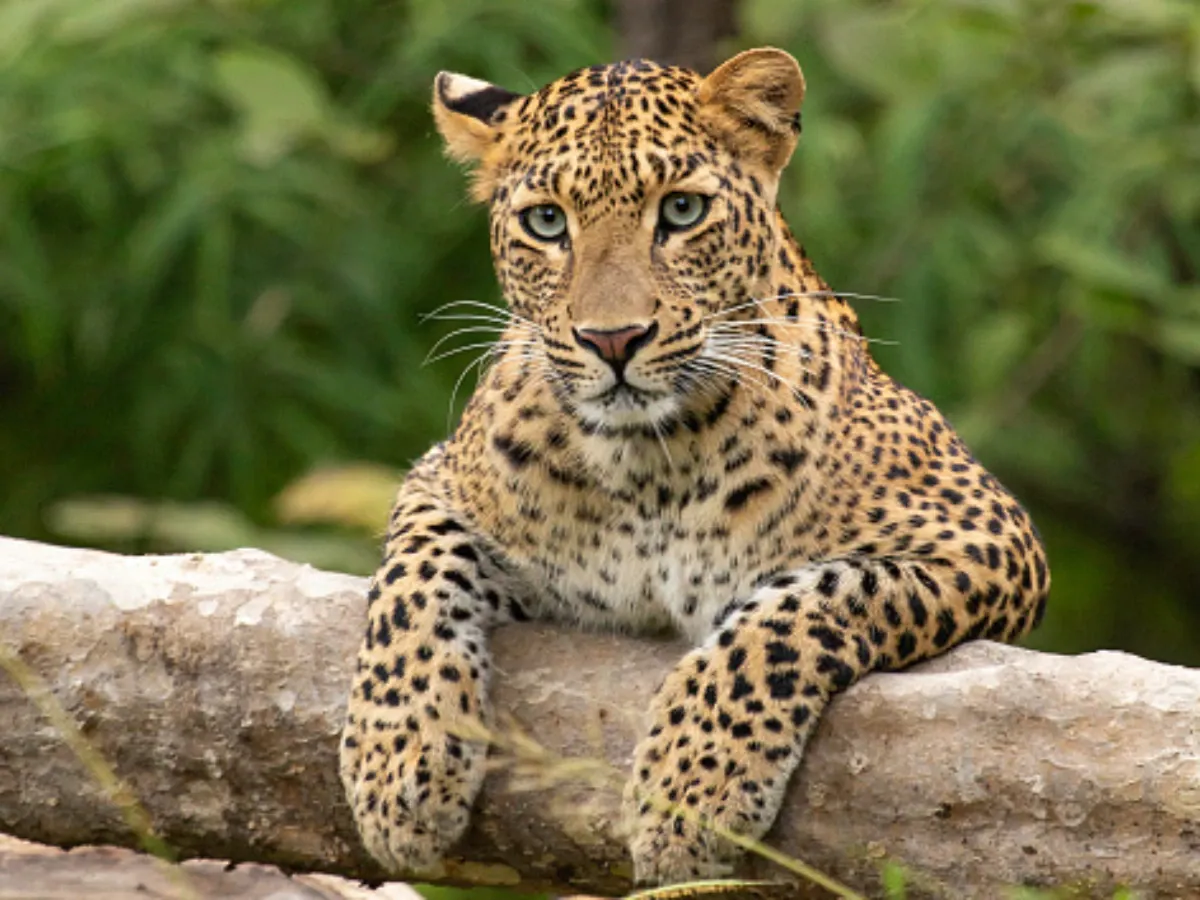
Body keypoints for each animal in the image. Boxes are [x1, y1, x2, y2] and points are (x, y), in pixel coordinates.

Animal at [339, 47, 1051, 886]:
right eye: (546, 222)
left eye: (680, 212)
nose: (613, 339)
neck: (646, 464)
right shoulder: (440, 481)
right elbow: (410, 584)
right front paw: (395, 762)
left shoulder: (984, 535)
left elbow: (802, 606)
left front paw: (693, 786)